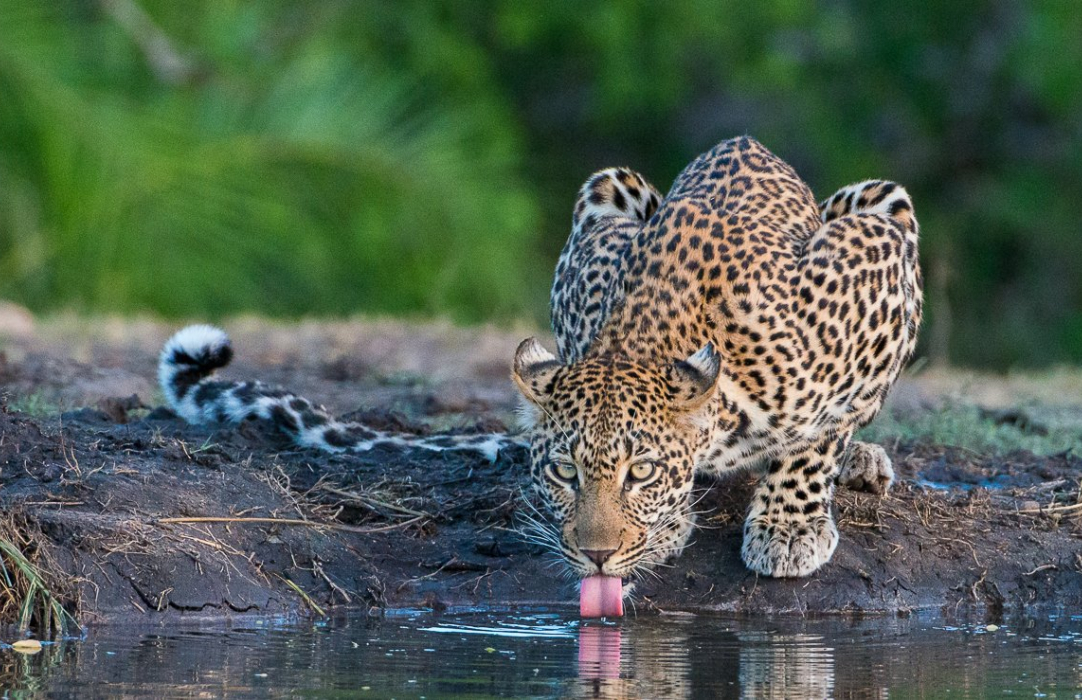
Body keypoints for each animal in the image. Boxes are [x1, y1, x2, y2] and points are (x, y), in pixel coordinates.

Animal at [512, 135, 921, 581]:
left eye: (641, 472)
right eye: (565, 471)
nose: (597, 556)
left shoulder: (875, 261)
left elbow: (821, 437)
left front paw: (789, 528)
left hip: (886, 202)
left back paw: (863, 460)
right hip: (609, 184)